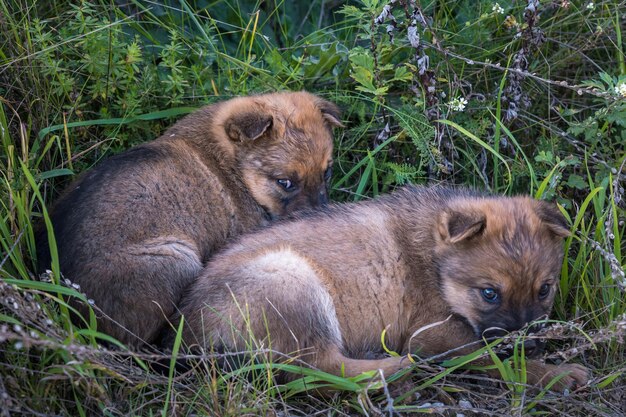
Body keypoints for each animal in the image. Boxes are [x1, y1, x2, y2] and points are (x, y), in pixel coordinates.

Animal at [173, 185, 588, 390]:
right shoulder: (430, 335)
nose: (531, 343)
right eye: (489, 293)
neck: (435, 257)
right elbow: (492, 357)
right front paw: (555, 374)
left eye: (544, 290)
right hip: (294, 281)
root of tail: (189, 332)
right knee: (317, 369)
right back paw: (392, 367)